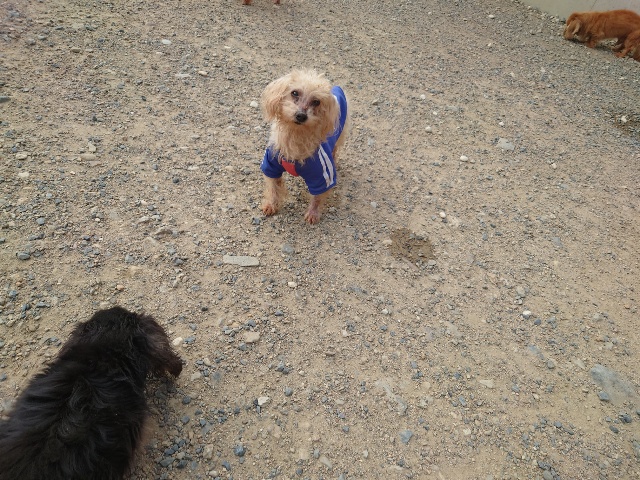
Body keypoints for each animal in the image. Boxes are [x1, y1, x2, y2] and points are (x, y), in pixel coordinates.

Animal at [259, 69, 349, 224]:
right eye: (294, 93)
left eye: (316, 101)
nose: (301, 115)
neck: (295, 136)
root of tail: (337, 88)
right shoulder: (271, 165)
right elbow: (273, 188)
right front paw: (271, 205)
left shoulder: (322, 177)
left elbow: (317, 198)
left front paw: (313, 214)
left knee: (335, 150)